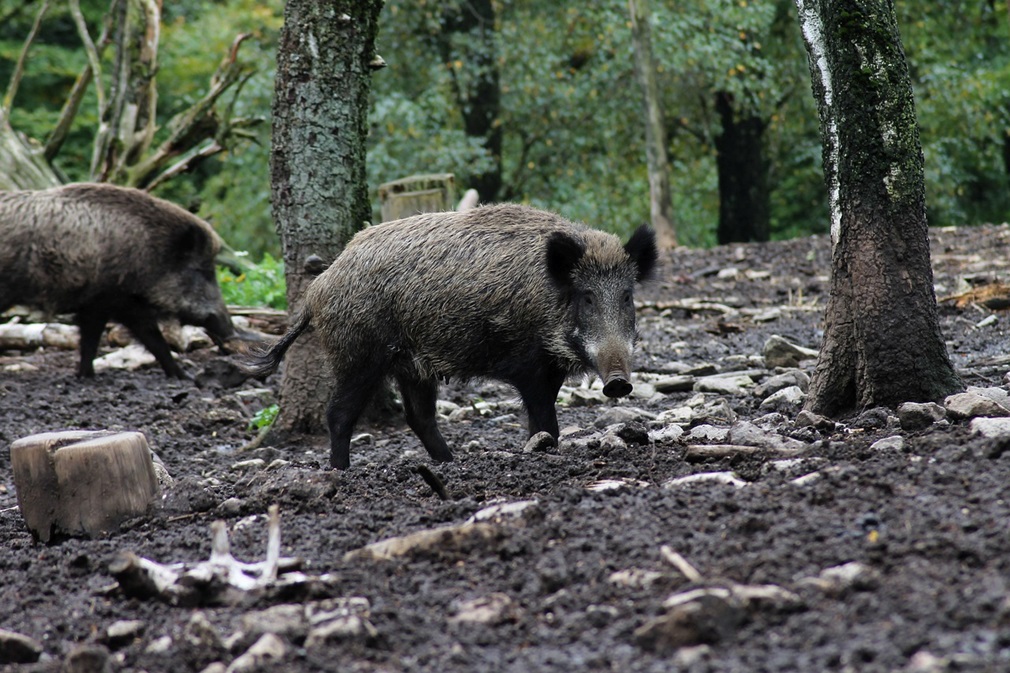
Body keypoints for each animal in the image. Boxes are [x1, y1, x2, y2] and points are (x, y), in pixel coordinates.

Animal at [0, 182, 238, 378]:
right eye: (204, 271)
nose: (231, 331)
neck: (152, 255)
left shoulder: (101, 304)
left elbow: (95, 339)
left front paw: (86, 376)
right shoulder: (115, 300)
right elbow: (150, 339)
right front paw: (186, 377)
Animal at [249, 204, 658, 469]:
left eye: (626, 296)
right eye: (587, 297)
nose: (618, 382)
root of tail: (319, 286)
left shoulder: (550, 368)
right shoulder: (528, 365)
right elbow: (543, 419)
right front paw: (544, 450)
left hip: (411, 366)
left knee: (419, 417)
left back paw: (450, 462)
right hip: (358, 356)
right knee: (339, 414)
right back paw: (340, 471)